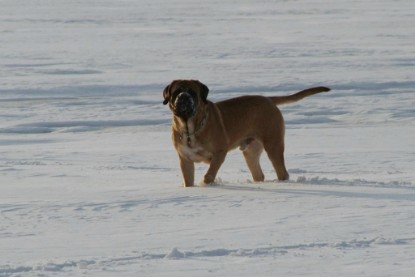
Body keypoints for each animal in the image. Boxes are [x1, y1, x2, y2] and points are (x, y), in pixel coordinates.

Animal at [163, 80, 332, 188]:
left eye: (192, 92)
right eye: (176, 92)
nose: (183, 97)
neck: (189, 128)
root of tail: (268, 99)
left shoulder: (219, 153)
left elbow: (209, 173)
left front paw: (205, 184)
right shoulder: (185, 160)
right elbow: (188, 180)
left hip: (273, 145)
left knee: (282, 171)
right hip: (251, 151)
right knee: (258, 174)